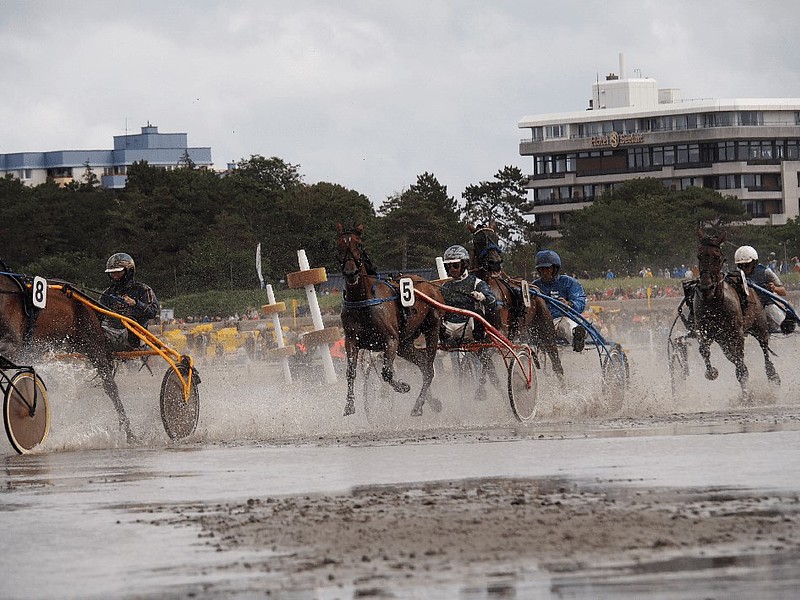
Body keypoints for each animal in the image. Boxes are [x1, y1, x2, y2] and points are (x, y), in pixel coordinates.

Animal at [334, 223, 444, 414]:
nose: (351, 273)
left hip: (432, 328)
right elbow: (351, 372)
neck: (363, 300)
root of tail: (431, 286)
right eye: (339, 246)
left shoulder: (390, 339)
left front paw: (402, 386)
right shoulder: (351, 340)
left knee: (429, 369)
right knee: (423, 365)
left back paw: (418, 404)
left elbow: (387, 373)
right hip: (405, 344)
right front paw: (349, 404)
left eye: (359, 245)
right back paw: (430, 402)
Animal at [468, 223, 564, 378]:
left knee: (557, 365)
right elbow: (488, 369)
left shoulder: (500, 334)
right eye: (478, 241)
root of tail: (535, 289)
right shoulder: (477, 341)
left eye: (496, 238)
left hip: (546, 329)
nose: (495, 263)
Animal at [692, 227, 780, 396]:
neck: (714, 303)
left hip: (760, 326)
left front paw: (746, 395)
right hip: (723, 341)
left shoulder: (736, 334)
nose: (706, 287)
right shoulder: (706, 332)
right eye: (699, 255)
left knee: (764, 350)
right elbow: (703, 350)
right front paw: (711, 372)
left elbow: (741, 367)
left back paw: (772, 374)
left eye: (717, 257)